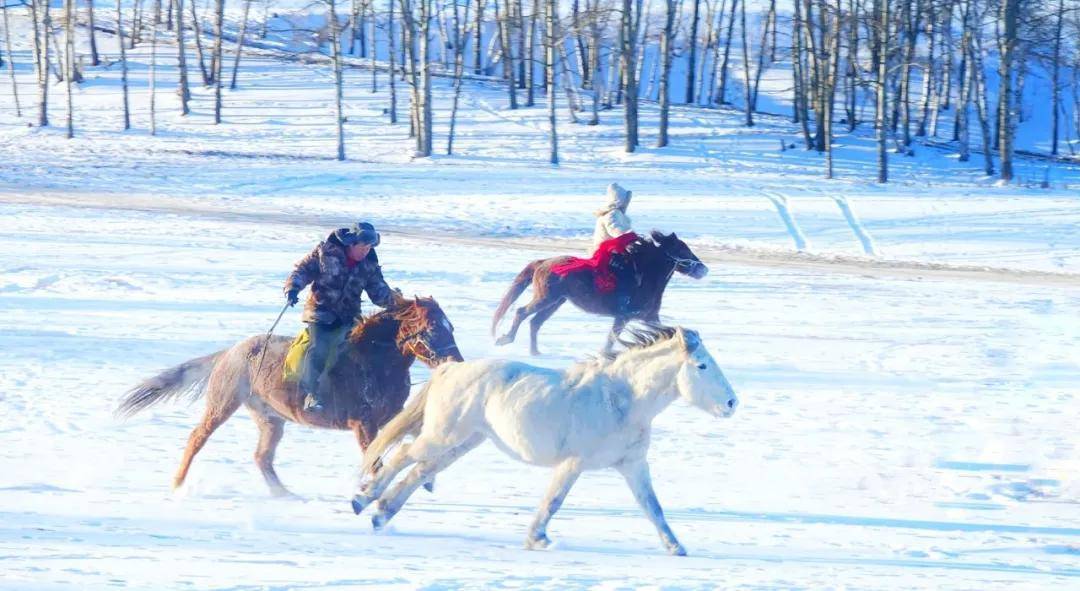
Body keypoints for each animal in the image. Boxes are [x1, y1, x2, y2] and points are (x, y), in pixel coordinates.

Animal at [117, 293, 460, 497]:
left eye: (451, 326)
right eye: (432, 328)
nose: (456, 361)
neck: (373, 361)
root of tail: (230, 352)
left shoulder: (391, 417)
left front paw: (427, 479)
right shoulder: (363, 423)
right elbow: (373, 457)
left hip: (271, 418)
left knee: (262, 457)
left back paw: (287, 495)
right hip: (223, 403)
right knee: (197, 438)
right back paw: (177, 483)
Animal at [349, 324, 738, 553]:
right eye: (702, 365)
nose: (732, 403)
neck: (621, 398)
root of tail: (450, 368)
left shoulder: (632, 465)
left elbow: (653, 507)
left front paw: (676, 547)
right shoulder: (573, 463)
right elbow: (553, 501)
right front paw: (538, 539)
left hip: (464, 442)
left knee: (419, 471)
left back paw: (381, 513)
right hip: (443, 435)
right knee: (403, 455)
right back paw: (363, 499)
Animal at [490, 232, 708, 356]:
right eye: (683, 249)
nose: (703, 269)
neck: (643, 277)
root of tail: (542, 263)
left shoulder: (649, 316)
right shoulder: (624, 316)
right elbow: (612, 338)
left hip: (556, 302)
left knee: (535, 322)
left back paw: (535, 352)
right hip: (545, 298)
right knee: (521, 312)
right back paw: (505, 339)